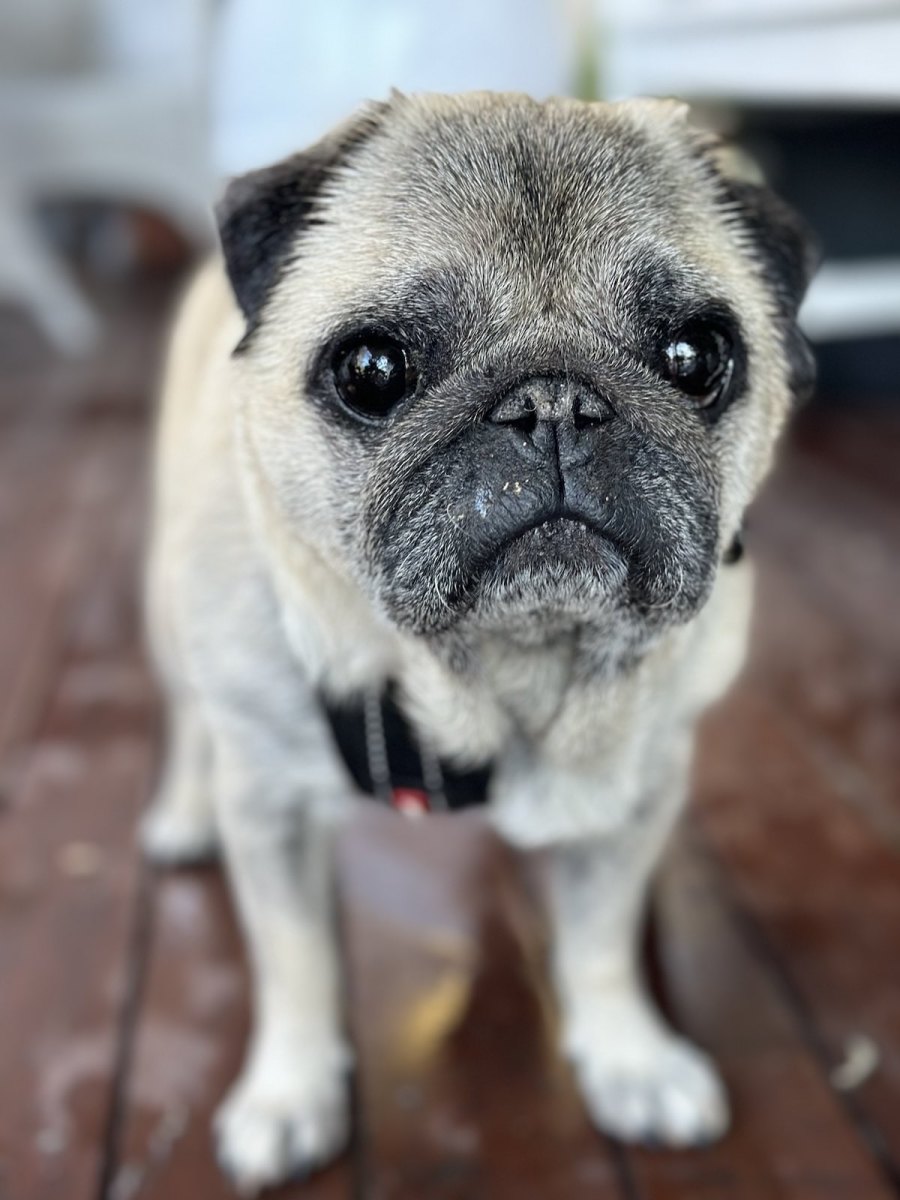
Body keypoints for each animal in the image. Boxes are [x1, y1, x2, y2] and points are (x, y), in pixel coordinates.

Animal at [141, 91, 817, 1192]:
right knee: (190, 718)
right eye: (373, 372)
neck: (498, 675)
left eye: (696, 357)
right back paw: (182, 810)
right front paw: (291, 1091)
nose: (554, 402)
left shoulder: (638, 796)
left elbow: (599, 943)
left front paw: (630, 1058)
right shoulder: (271, 805)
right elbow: (295, 961)